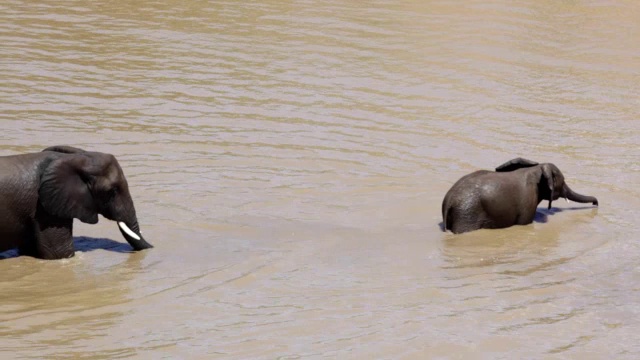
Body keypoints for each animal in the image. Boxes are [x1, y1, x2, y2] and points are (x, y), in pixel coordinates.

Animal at [442, 158, 596, 233]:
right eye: (562, 182)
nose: (596, 203)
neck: (535, 169)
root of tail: (448, 201)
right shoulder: (528, 201)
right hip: (466, 215)